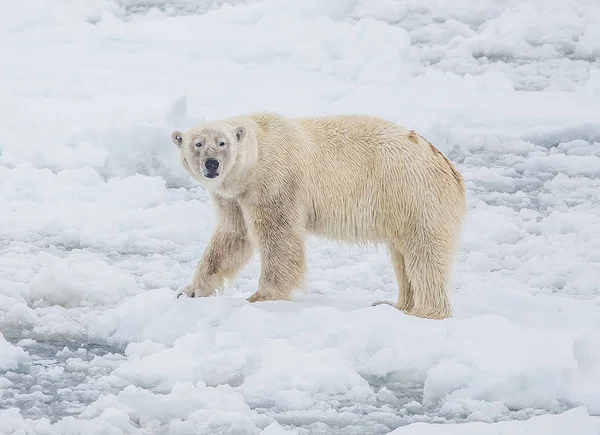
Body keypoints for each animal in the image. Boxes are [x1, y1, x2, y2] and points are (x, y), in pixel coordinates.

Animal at [171, 112, 466, 320]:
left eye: (223, 143)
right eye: (197, 144)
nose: (212, 164)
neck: (257, 156)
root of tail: (448, 166)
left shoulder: (276, 181)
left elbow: (279, 238)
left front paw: (261, 296)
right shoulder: (234, 197)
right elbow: (233, 237)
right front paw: (190, 290)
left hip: (413, 194)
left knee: (424, 254)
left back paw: (425, 311)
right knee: (401, 256)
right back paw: (395, 304)